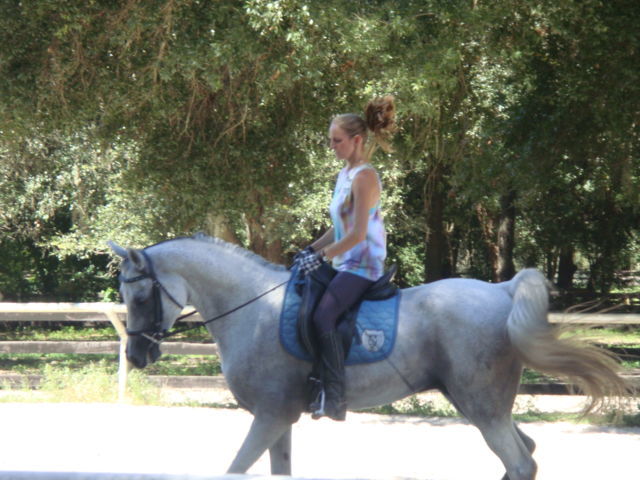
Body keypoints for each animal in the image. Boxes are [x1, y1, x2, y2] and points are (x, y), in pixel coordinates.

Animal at [108, 234, 628, 480]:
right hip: (480, 404)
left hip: (482, 405)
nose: (136, 353)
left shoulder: (271, 415)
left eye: (140, 296)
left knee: (521, 462)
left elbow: (235, 467)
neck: (253, 308)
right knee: (527, 454)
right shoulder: (280, 419)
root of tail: (502, 289)